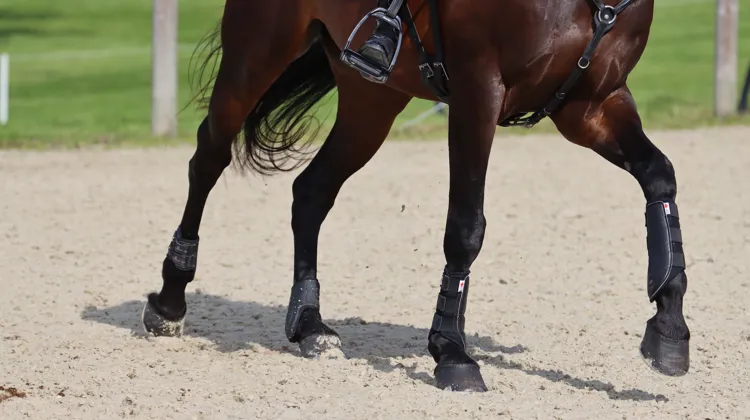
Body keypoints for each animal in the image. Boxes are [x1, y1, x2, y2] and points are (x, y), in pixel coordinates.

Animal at [141, 0, 691, 392]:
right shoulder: (477, 92)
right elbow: (466, 227)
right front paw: (451, 351)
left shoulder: (592, 103)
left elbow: (659, 178)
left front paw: (669, 328)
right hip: (256, 55)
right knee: (208, 160)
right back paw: (169, 300)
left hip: (372, 97)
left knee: (312, 192)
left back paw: (310, 324)